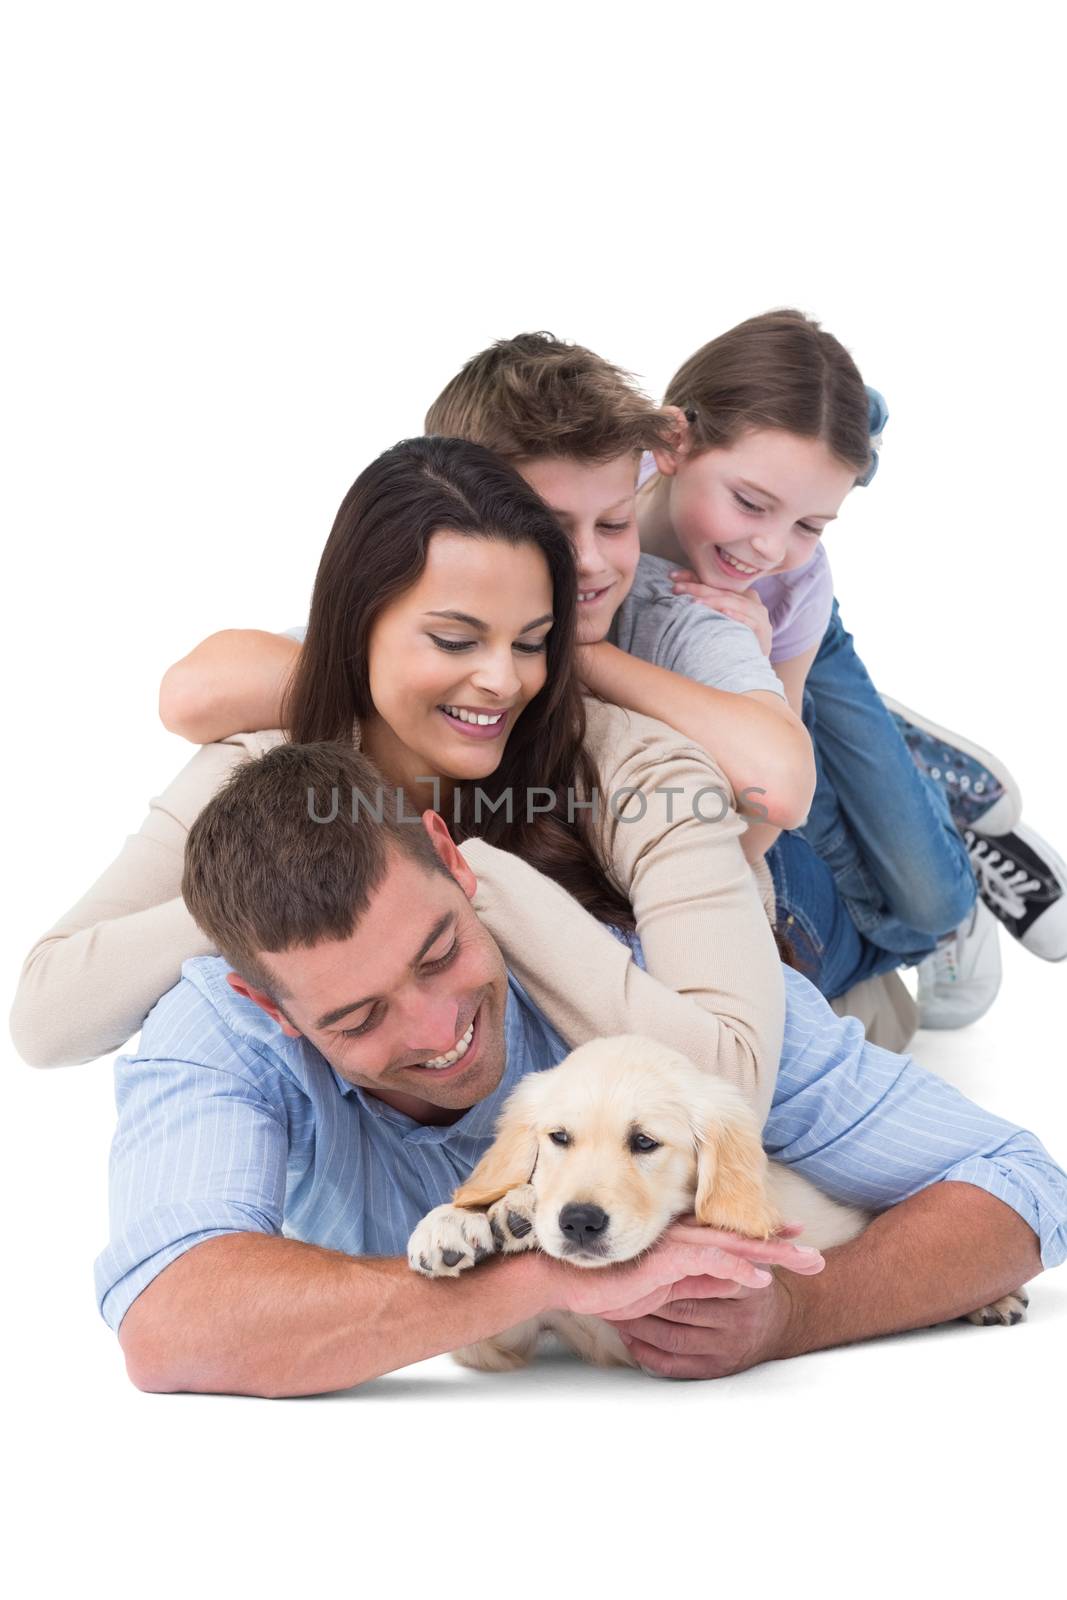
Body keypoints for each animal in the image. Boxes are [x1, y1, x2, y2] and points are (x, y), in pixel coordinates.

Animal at [406, 1036, 1023, 1376]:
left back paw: (996, 1300)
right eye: (558, 1138)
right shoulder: (505, 1342)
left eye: (645, 1143)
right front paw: (462, 1223)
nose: (579, 1222)